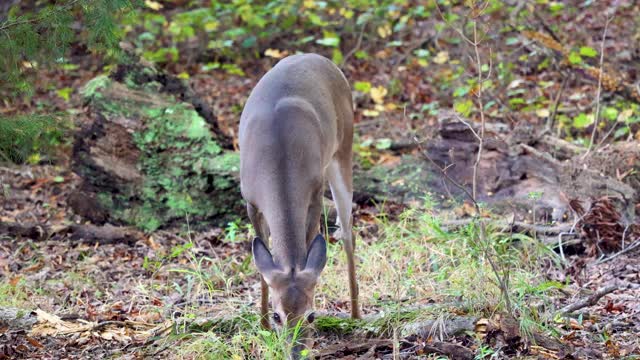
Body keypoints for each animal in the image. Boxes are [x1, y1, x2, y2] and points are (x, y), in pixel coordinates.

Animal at [240, 53, 360, 354]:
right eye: (277, 316)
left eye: (311, 315)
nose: (297, 352)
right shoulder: (251, 201)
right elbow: (262, 262)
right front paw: (262, 326)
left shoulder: (314, 192)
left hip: (343, 149)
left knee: (347, 229)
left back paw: (356, 314)